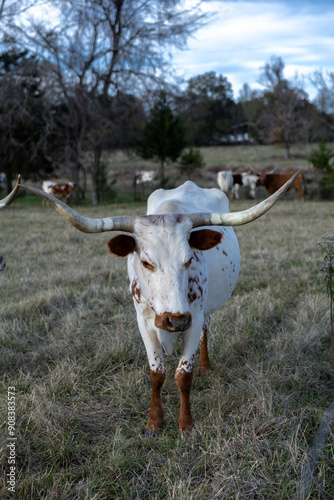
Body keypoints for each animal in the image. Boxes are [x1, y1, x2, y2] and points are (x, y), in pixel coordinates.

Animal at [1, 175, 298, 434]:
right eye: (146, 262)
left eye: (189, 259)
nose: (175, 320)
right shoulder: (143, 322)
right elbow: (157, 373)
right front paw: (154, 423)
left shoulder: (193, 318)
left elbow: (183, 374)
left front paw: (186, 424)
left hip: (205, 311)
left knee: (206, 331)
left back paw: (206, 365)